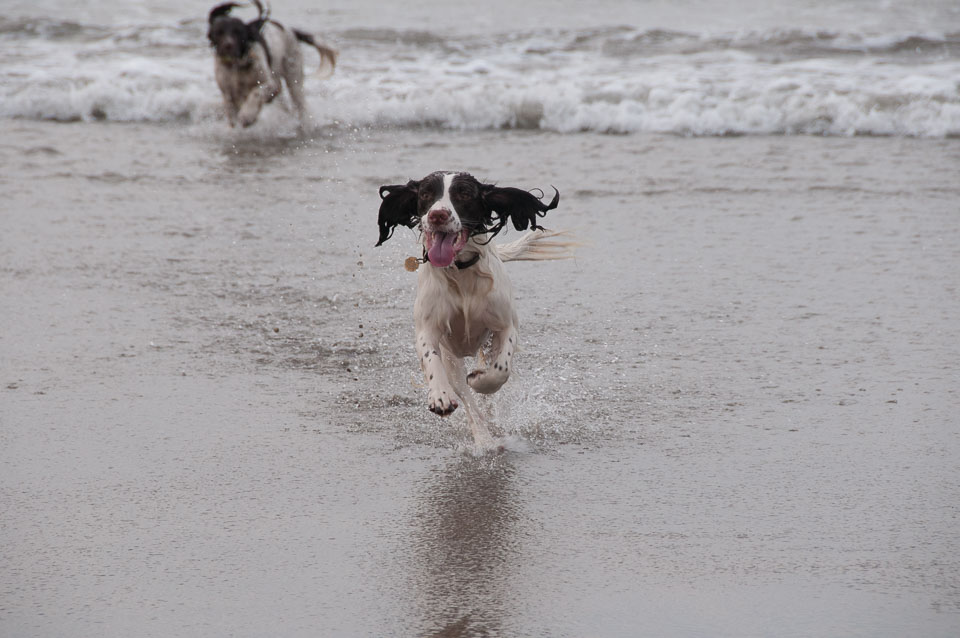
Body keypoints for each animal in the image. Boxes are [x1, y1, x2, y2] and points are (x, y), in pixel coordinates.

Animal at [204, 0, 336, 129]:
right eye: (219, 32)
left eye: (238, 32)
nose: (228, 45)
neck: (237, 66)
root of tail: (291, 30)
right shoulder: (227, 92)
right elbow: (231, 112)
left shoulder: (269, 84)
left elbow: (256, 92)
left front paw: (247, 115)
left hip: (294, 79)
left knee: (300, 105)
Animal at [376, 171, 572, 450]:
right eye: (425, 194)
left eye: (464, 195)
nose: (438, 215)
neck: (460, 273)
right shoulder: (428, 330)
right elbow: (431, 358)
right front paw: (440, 397)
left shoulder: (506, 326)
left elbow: (500, 371)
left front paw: (481, 380)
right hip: (452, 360)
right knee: (468, 402)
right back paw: (483, 437)